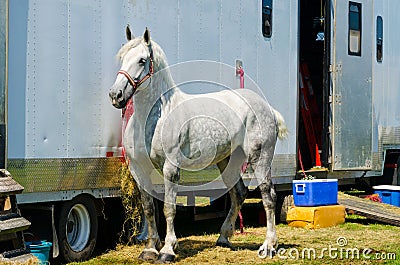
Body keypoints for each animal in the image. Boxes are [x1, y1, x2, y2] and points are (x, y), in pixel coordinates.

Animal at [108, 26, 286, 262]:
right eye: (122, 58)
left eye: (142, 60)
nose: (116, 95)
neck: (154, 118)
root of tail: (267, 107)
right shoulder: (140, 169)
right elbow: (148, 208)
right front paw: (150, 249)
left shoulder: (171, 168)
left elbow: (169, 208)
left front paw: (167, 250)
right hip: (228, 161)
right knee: (238, 193)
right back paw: (223, 238)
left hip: (260, 158)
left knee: (268, 196)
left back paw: (268, 246)